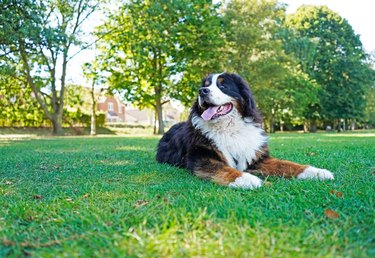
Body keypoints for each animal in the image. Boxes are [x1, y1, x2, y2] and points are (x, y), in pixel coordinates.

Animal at [156, 72, 334, 189]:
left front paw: (317, 172)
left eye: (222, 85)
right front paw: (246, 179)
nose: (202, 91)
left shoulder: (256, 157)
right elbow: (224, 168)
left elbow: (287, 164)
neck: (229, 129)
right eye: (204, 86)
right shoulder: (202, 157)